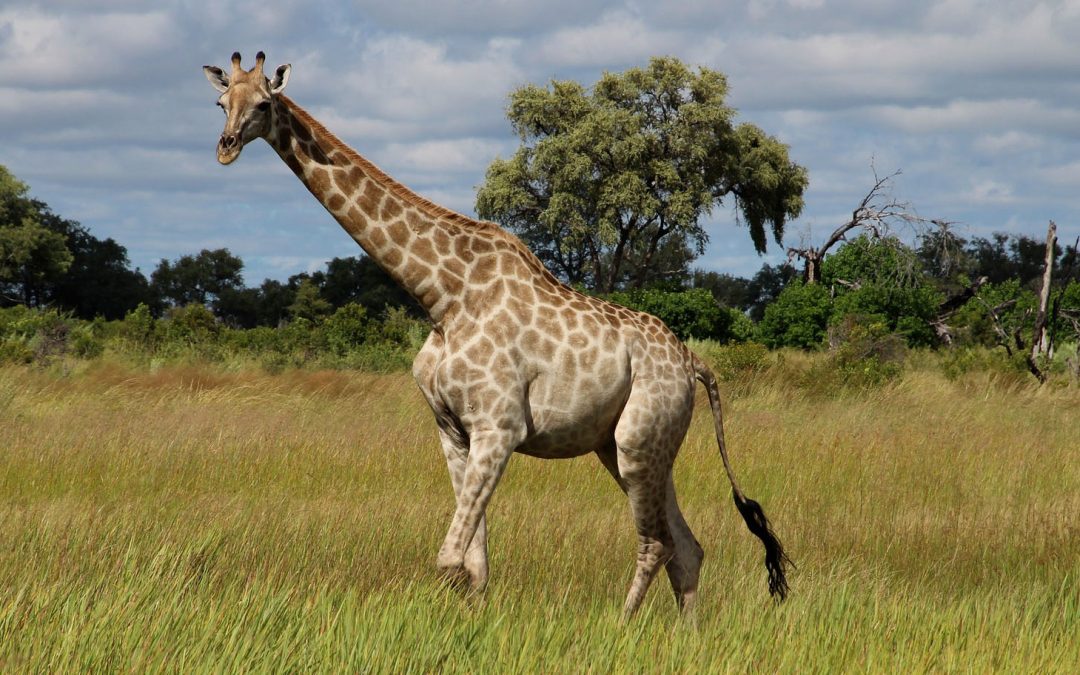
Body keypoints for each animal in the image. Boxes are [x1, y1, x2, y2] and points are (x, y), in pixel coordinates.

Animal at [203, 52, 790, 617]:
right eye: (221, 103)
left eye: (262, 104)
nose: (225, 148)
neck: (443, 297)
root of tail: (694, 363)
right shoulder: (453, 431)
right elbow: (475, 564)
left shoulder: (499, 427)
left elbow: (449, 560)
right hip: (635, 447)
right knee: (687, 548)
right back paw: (686, 633)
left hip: (636, 442)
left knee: (657, 544)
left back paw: (622, 625)